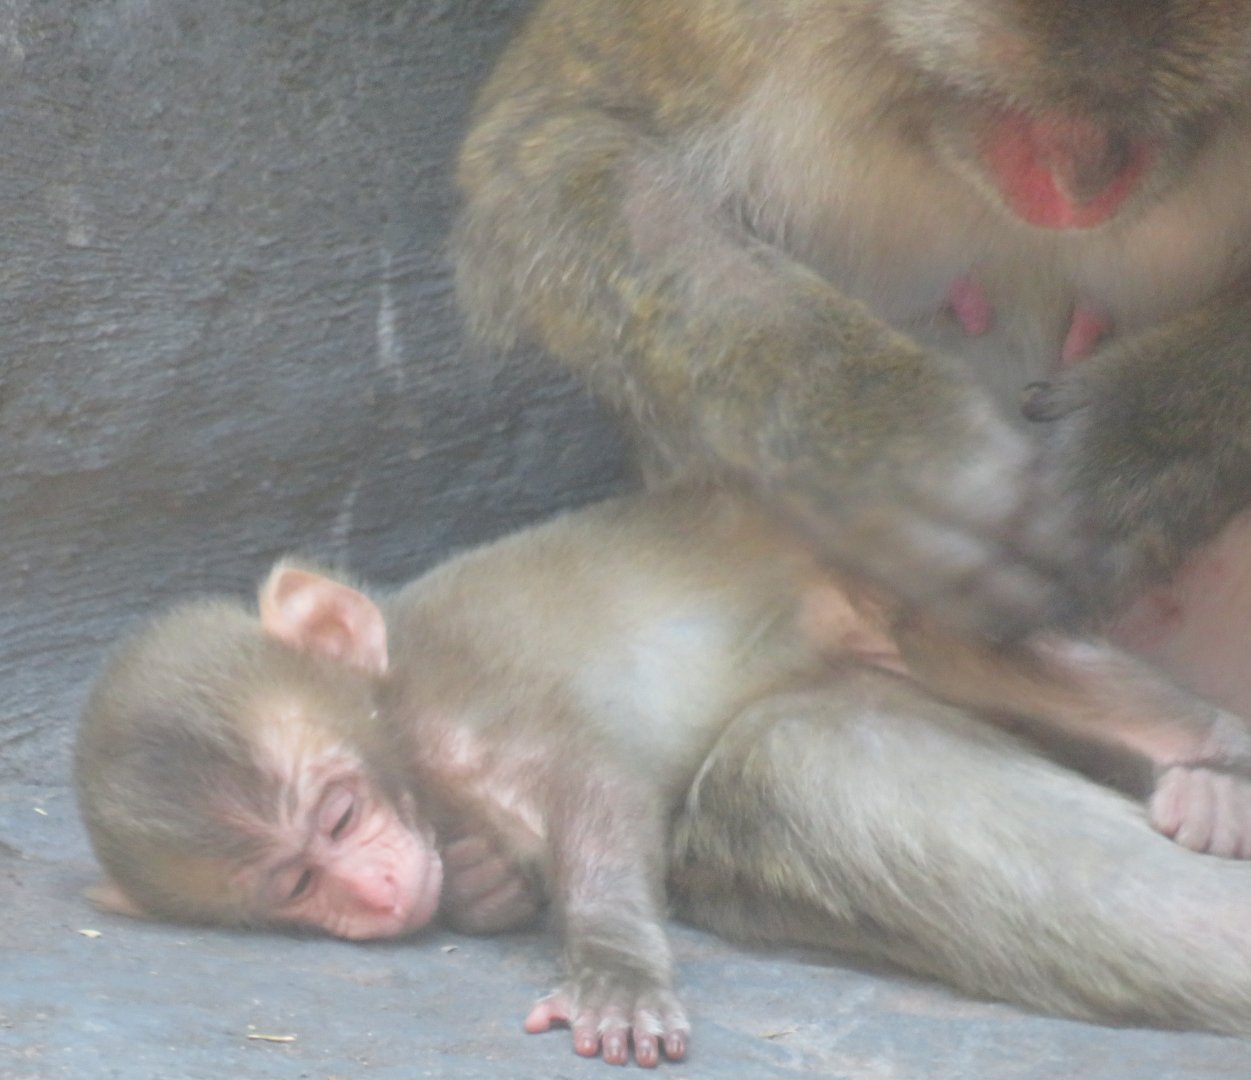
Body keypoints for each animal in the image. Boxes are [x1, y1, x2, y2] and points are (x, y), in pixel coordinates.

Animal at [76, 488, 1251, 1066]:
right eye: (293, 886)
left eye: (338, 813)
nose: (369, 892)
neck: (400, 723)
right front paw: (479, 885)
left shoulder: (466, 703)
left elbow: (597, 794)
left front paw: (615, 972)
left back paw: (1207, 763)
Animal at [452, 0, 1251, 711]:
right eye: (1003, 99)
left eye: (1186, 105)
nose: (1081, 182)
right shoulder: (723, 23)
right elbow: (551, 145)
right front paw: (886, 450)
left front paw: (1139, 442)